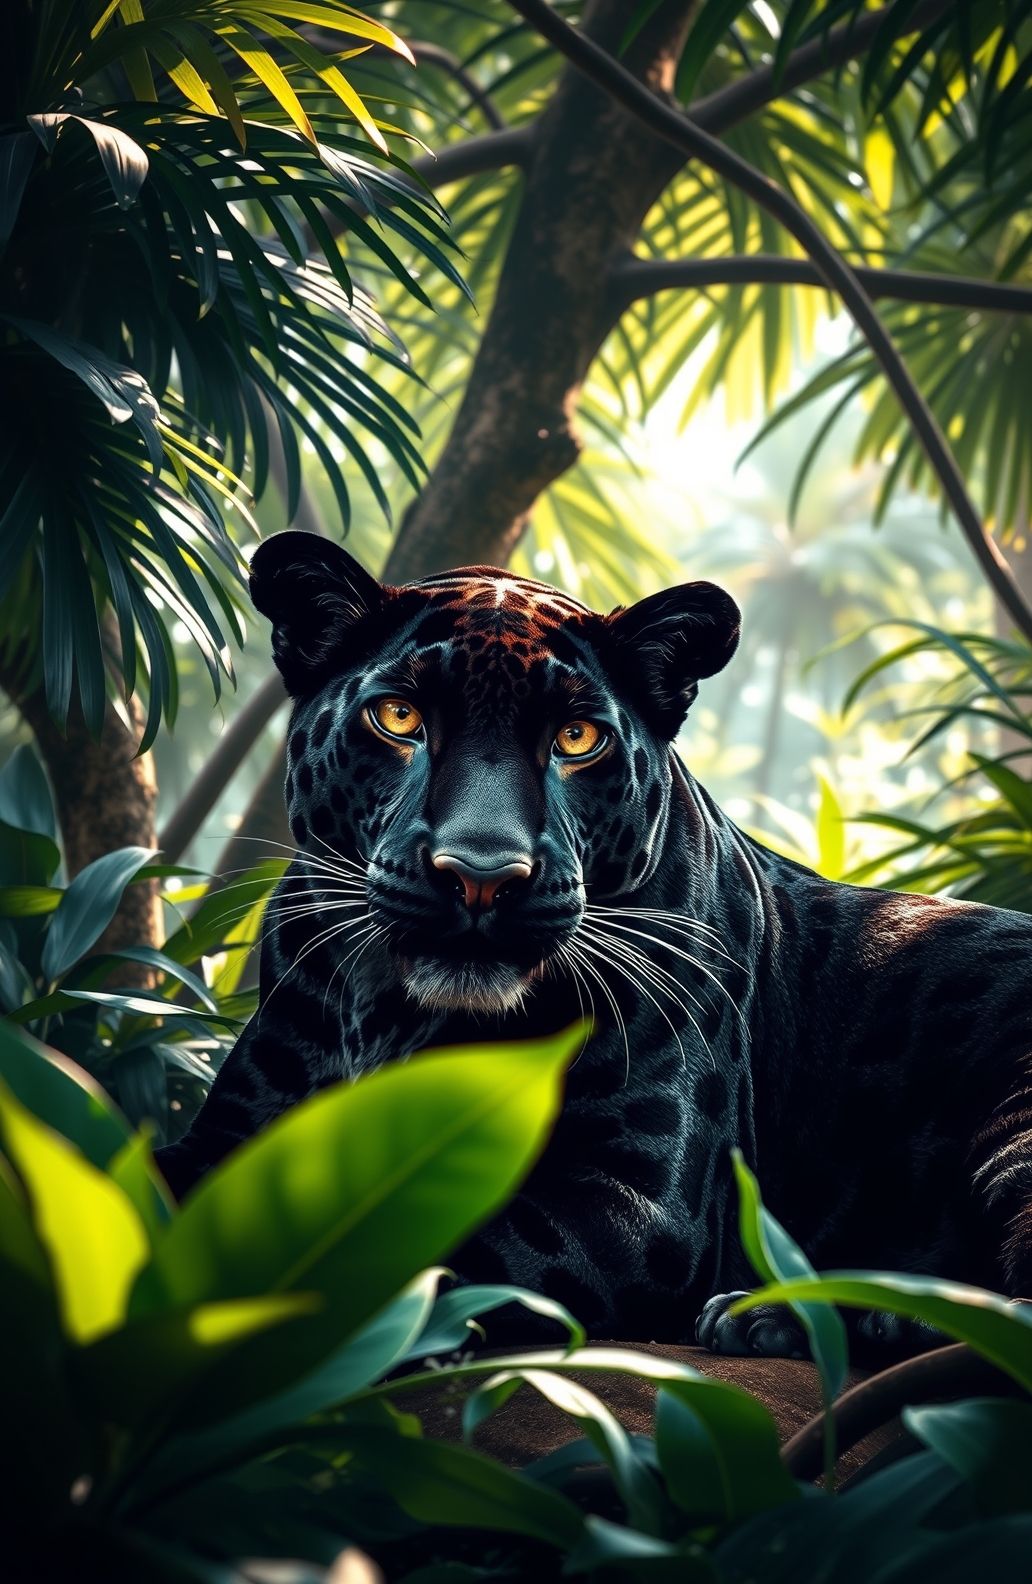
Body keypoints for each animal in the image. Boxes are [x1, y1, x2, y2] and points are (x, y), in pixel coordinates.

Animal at [156, 529, 1032, 1360]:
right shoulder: (230, 1138)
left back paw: (775, 1317)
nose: (482, 874)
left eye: (577, 738)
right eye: (399, 717)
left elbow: (418, 1249)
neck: (392, 1016)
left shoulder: (635, 1199)